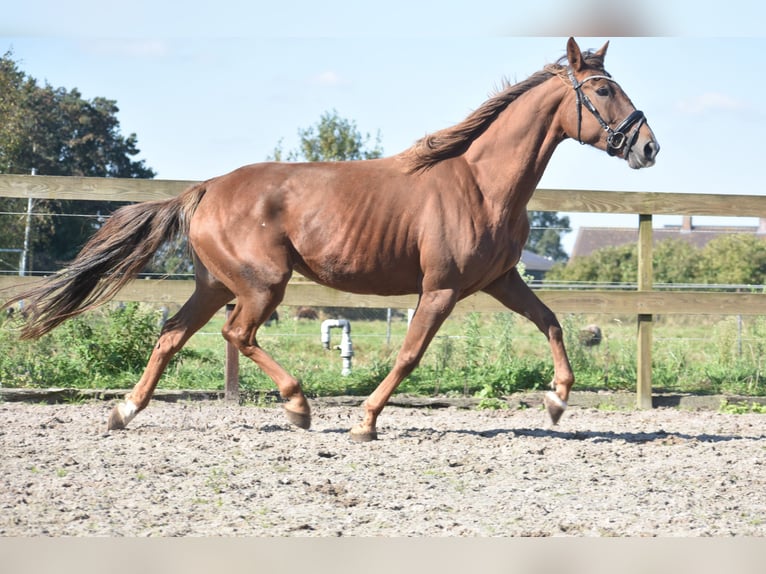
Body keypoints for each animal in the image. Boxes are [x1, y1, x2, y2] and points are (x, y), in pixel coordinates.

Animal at [1, 38, 660, 444]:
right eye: (603, 90)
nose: (649, 147)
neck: (480, 183)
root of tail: (205, 189)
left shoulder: (499, 280)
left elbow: (550, 322)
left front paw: (557, 400)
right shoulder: (441, 289)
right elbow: (410, 354)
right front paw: (364, 421)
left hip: (214, 284)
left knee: (171, 336)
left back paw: (123, 411)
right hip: (262, 285)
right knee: (237, 335)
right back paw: (297, 406)